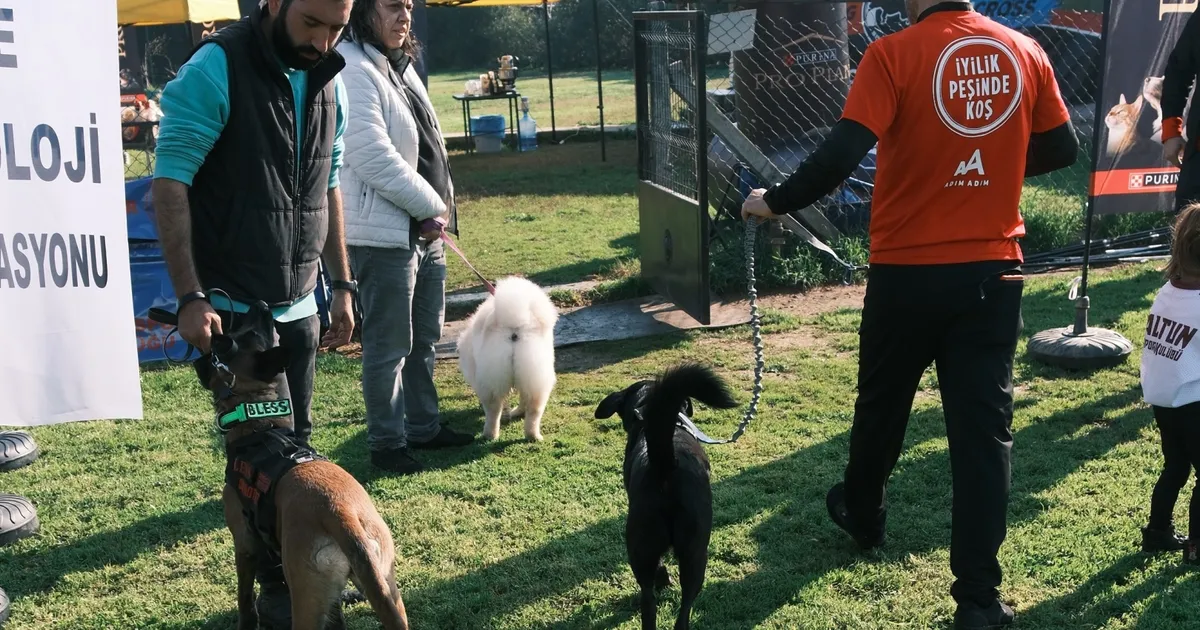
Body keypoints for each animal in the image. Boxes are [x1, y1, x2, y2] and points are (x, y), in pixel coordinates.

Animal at [192, 300, 408, 628]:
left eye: (240, 335)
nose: (261, 304)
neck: (260, 427)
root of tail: (341, 513)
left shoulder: (244, 542)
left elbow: (245, 598)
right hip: (388, 590)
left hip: (304, 598)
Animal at [456, 274, 559, 441]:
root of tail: (514, 328)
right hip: (534, 376)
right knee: (533, 408)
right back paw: (532, 434)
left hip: (491, 382)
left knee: (493, 410)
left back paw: (490, 434)